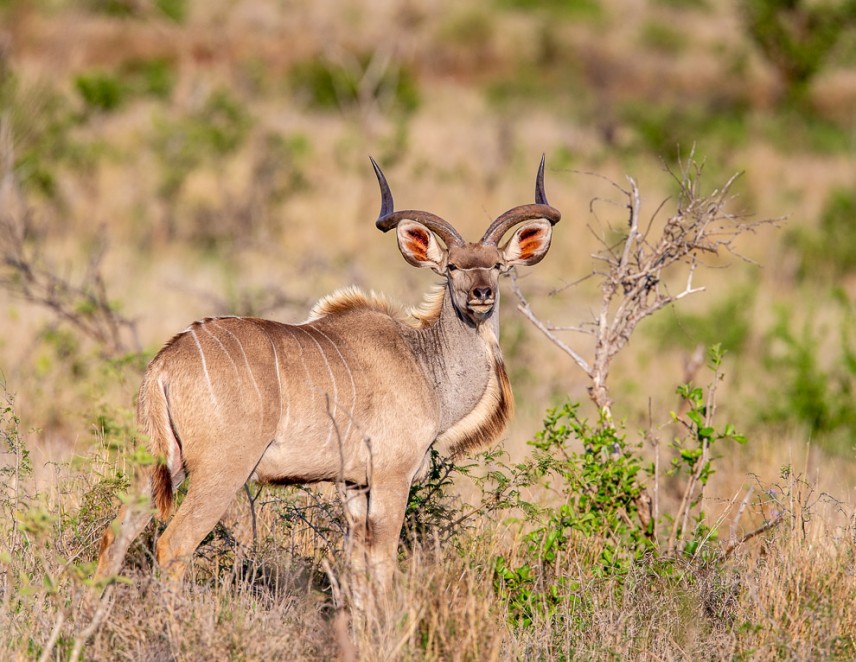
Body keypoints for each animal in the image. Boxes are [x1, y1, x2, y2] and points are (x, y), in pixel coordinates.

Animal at [95, 157, 560, 592]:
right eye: (452, 268)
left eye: (497, 265)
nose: (482, 295)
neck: (424, 363)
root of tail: (164, 363)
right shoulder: (391, 478)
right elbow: (382, 563)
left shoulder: (354, 487)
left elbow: (357, 567)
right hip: (220, 472)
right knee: (173, 544)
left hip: (161, 464)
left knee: (115, 535)